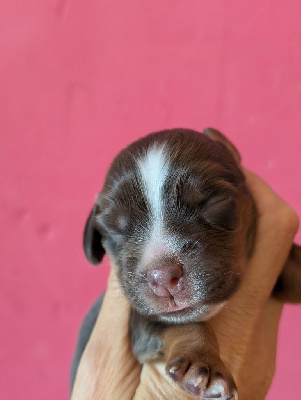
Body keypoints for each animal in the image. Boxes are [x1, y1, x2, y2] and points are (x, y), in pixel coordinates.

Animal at [72, 129, 300, 400]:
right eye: (115, 229)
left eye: (214, 203)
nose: (162, 276)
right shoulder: (139, 322)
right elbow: (185, 325)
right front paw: (203, 364)